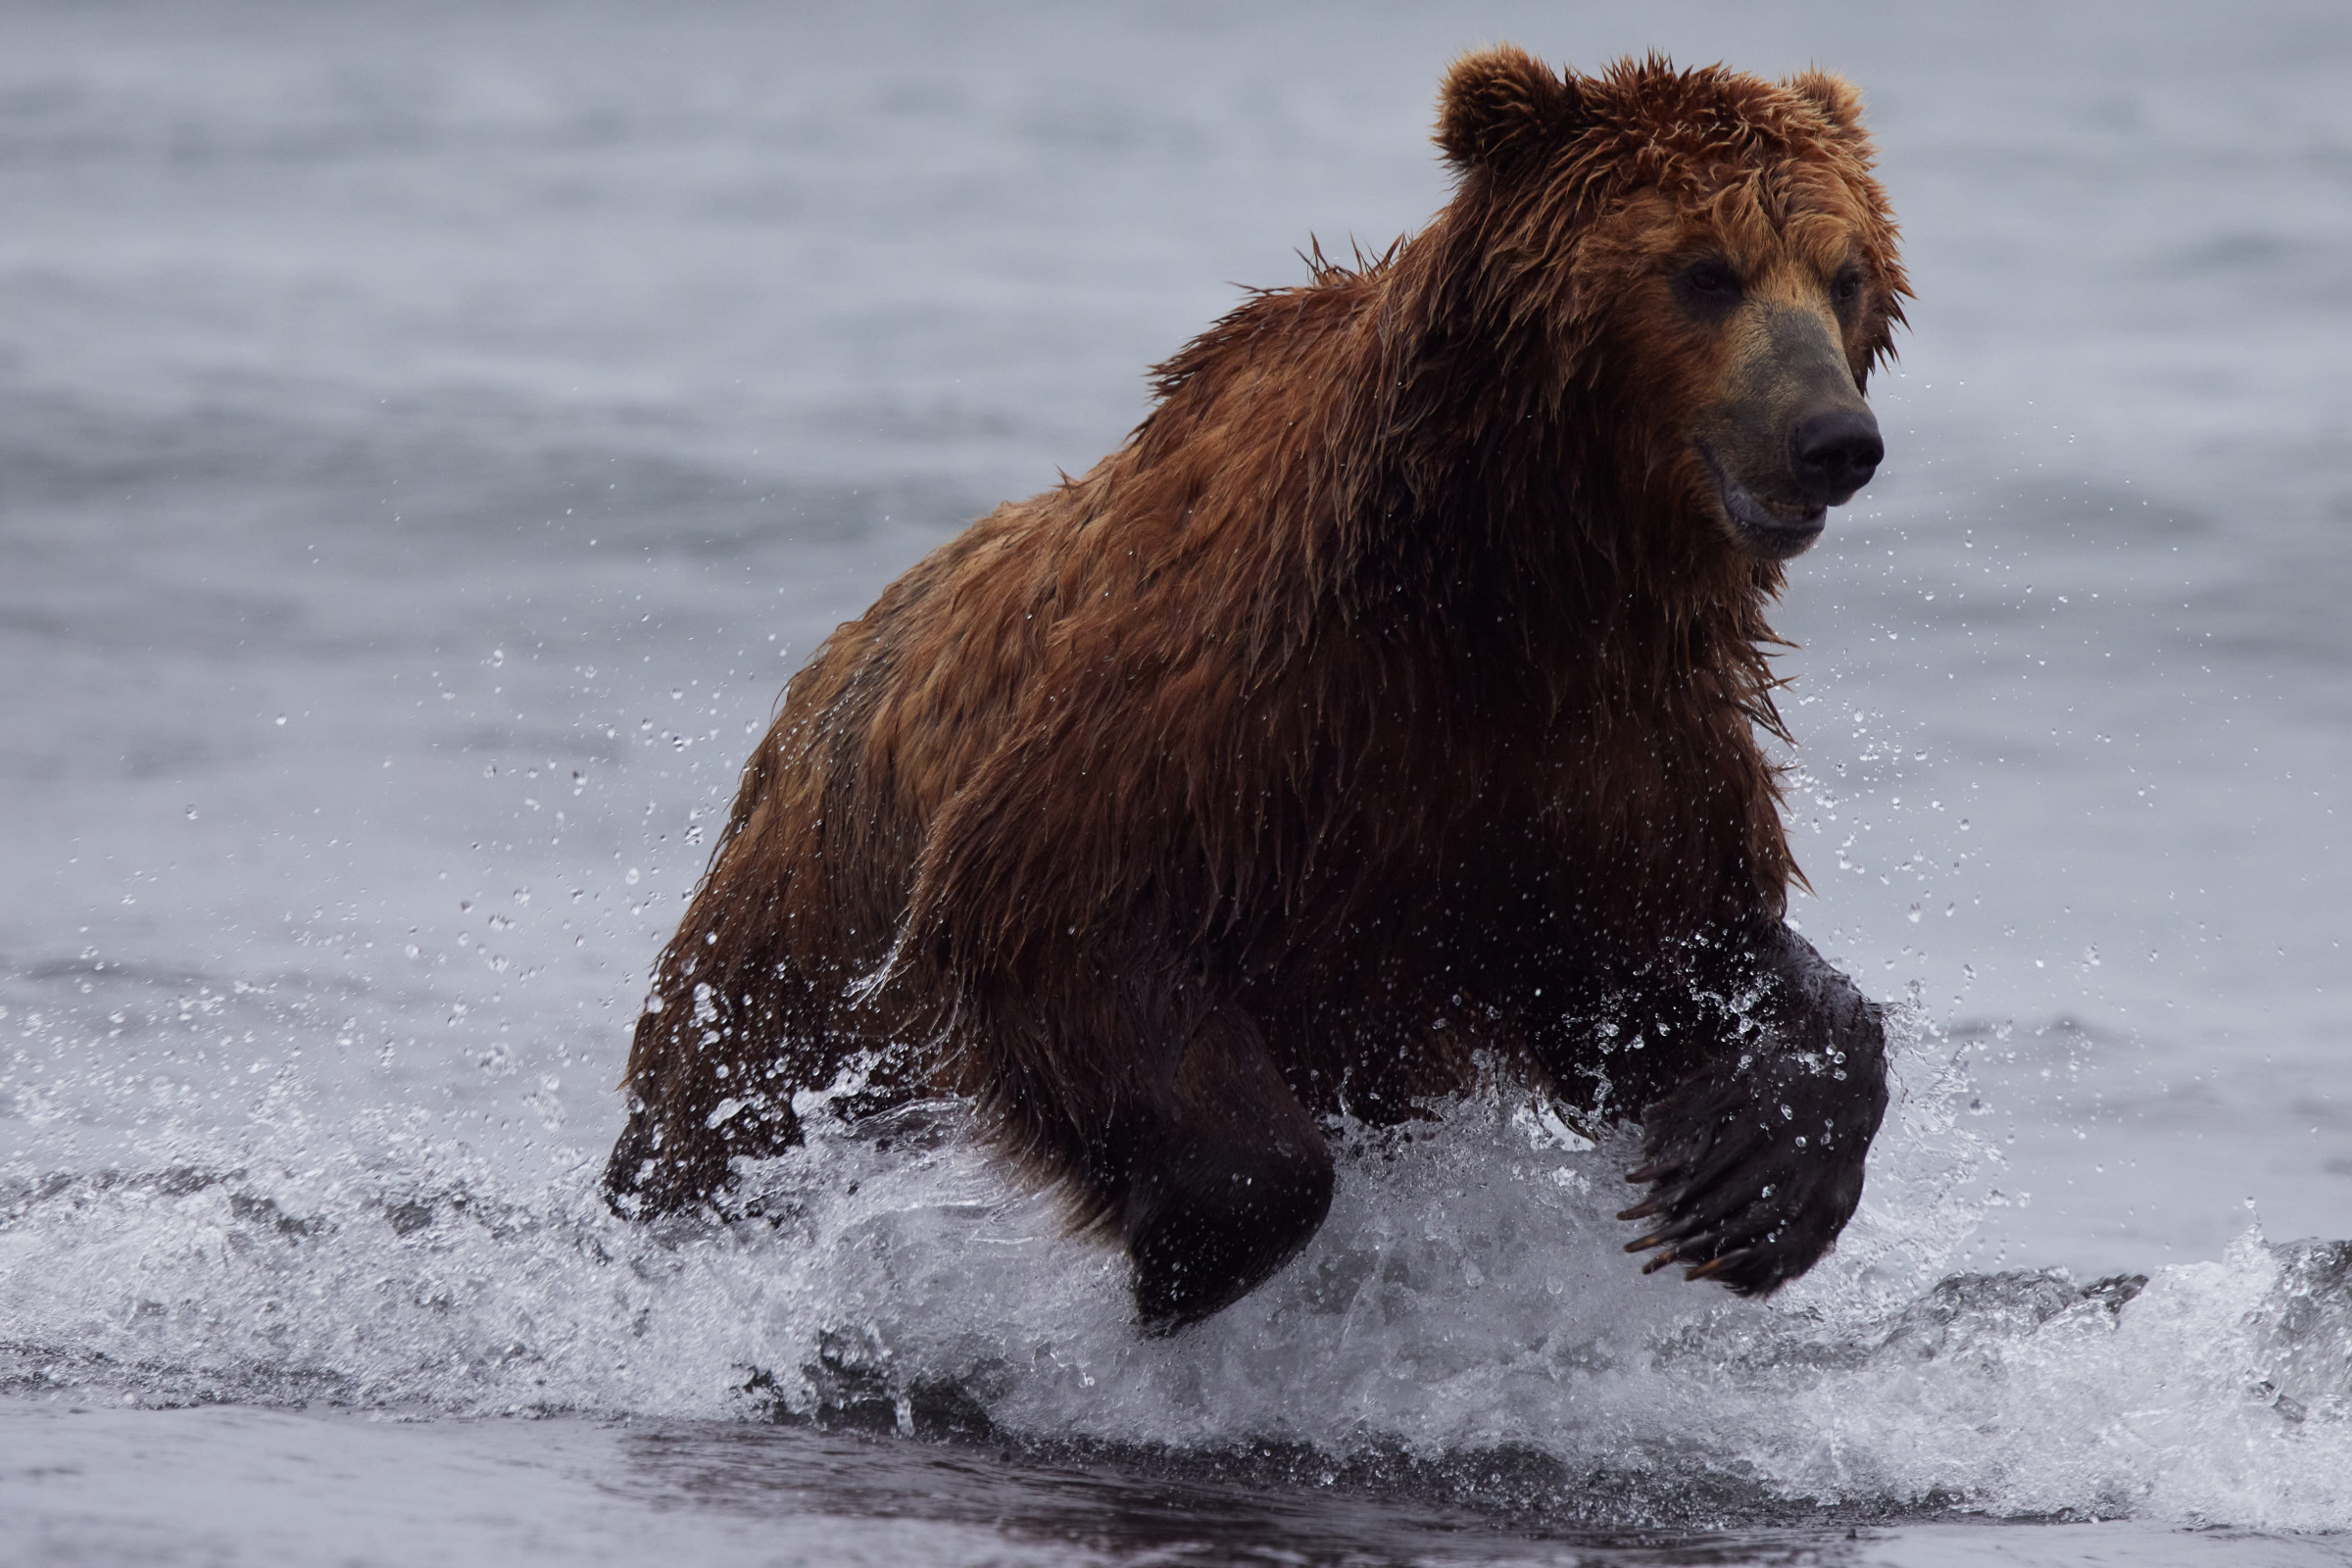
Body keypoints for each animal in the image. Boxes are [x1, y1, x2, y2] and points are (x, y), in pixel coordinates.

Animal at [607, 42, 1909, 1335]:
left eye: (1845, 273)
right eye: (1704, 272)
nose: (1832, 438)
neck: (1496, 583)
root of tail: (808, 689)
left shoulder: (1604, 754)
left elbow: (1666, 963)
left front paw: (1750, 1173)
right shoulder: (1230, 707)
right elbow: (1057, 912)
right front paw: (1183, 1251)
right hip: (788, 956)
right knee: (714, 1134)